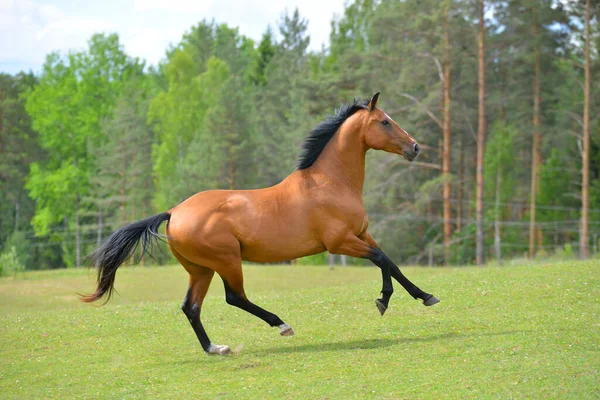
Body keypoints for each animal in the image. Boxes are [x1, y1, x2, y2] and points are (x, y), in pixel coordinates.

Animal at [81, 94, 440, 356]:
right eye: (385, 121)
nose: (415, 146)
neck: (329, 182)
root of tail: (174, 212)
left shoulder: (362, 233)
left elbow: (390, 262)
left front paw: (420, 296)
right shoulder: (340, 242)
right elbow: (382, 260)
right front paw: (389, 300)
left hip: (200, 269)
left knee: (191, 307)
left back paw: (216, 348)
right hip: (226, 261)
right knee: (234, 297)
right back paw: (281, 325)